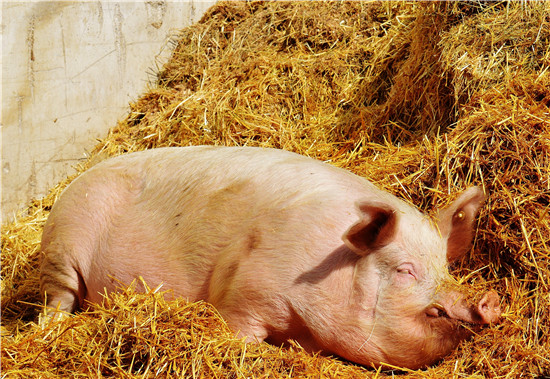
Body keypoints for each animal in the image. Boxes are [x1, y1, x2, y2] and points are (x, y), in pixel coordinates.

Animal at [41, 146, 502, 372]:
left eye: (445, 268)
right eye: (405, 270)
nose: (489, 300)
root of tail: (76, 180)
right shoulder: (243, 292)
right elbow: (239, 331)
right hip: (62, 246)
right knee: (56, 300)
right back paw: (52, 328)